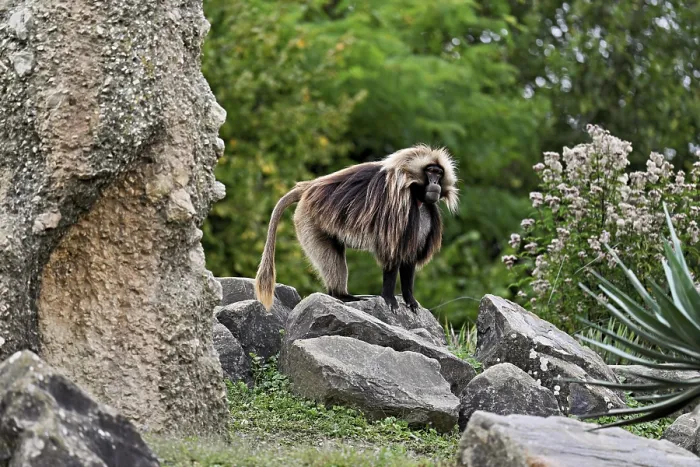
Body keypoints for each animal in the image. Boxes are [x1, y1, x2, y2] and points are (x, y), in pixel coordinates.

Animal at [254, 144, 459, 312]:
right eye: (430, 172)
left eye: (439, 173)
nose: (435, 184)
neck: (414, 192)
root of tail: (308, 187)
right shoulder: (397, 207)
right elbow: (391, 254)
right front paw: (389, 299)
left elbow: (409, 256)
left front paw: (410, 300)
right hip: (308, 219)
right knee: (331, 258)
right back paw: (342, 296)